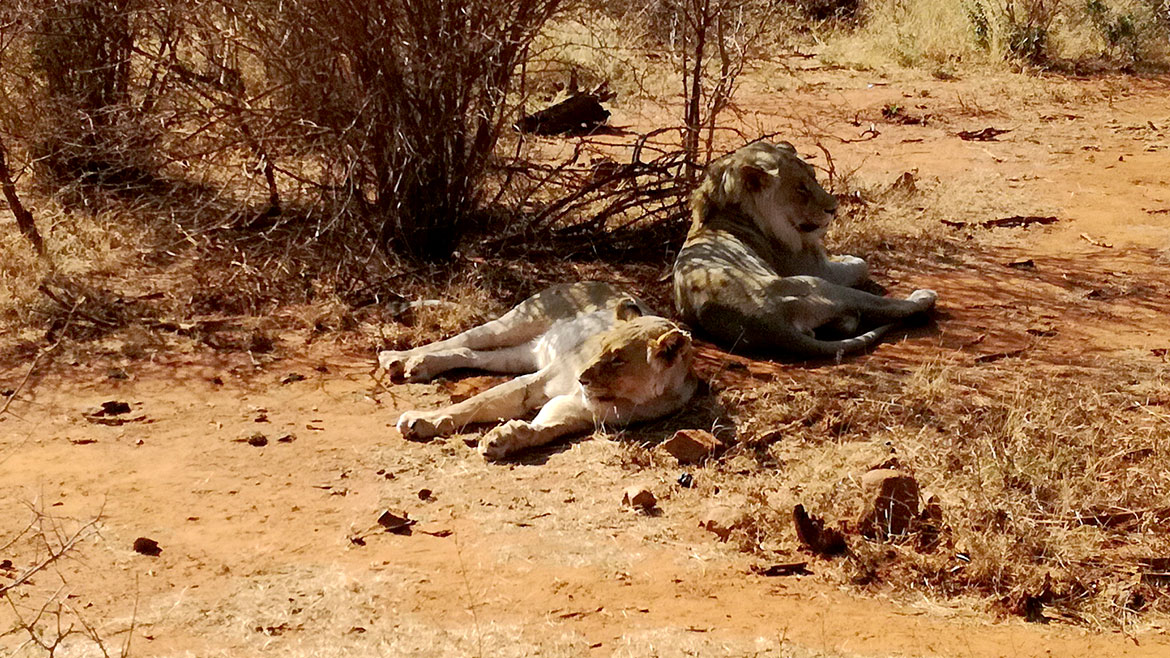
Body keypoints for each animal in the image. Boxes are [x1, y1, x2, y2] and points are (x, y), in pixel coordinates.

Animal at [378, 282, 697, 461]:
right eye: (601, 345)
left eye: (618, 360)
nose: (582, 378)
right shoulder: (538, 382)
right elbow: (474, 403)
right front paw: (421, 420)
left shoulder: (579, 412)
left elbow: (544, 428)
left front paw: (507, 438)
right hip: (516, 323)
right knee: (461, 339)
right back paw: (396, 359)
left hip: (524, 354)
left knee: (469, 353)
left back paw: (419, 365)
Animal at [672, 141, 937, 358]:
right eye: (800, 188)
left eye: (813, 177)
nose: (834, 208)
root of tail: (766, 324)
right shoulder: (818, 269)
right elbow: (862, 264)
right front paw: (848, 257)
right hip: (817, 285)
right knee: (883, 304)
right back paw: (923, 296)